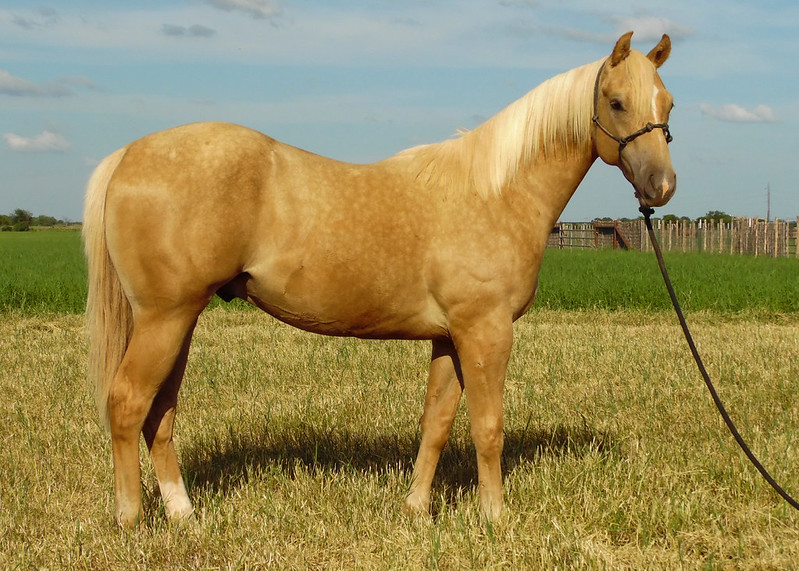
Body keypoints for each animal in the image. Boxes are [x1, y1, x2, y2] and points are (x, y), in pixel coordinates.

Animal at [83, 31, 676, 528]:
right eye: (616, 102)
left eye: (667, 104)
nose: (661, 186)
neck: (494, 192)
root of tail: (128, 155)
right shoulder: (486, 333)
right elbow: (487, 427)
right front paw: (494, 519)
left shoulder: (449, 337)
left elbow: (436, 423)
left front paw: (416, 508)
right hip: (165, 318)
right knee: (129, 402)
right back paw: (130, 518)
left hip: (178, 321)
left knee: (160, 412)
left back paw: (182, 513)